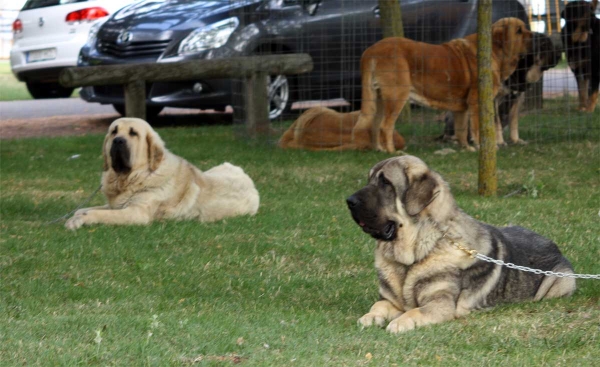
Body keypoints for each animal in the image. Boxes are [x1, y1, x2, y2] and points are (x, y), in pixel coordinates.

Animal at [65, 118, 258, 230]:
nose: (118, 140)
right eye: (114, 131)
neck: (134, 177)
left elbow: (100, 214)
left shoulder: (137, 213)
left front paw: (80, 220)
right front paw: (77, 215)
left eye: (133, 133)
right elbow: (85, 209)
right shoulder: (116, 205)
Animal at [354, 16, 532, 152]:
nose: (534, 35)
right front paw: (483, 146)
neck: (494, 50)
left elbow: (461, 129)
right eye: (519, 31)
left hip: (378, 99)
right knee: (385, 126)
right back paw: (392, 152)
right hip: (396, 96)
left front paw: (466, 148)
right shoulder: (476, 101)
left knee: (375, 124)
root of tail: (371, 51)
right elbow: (475, 127)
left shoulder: (462, 107)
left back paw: (379, 150)